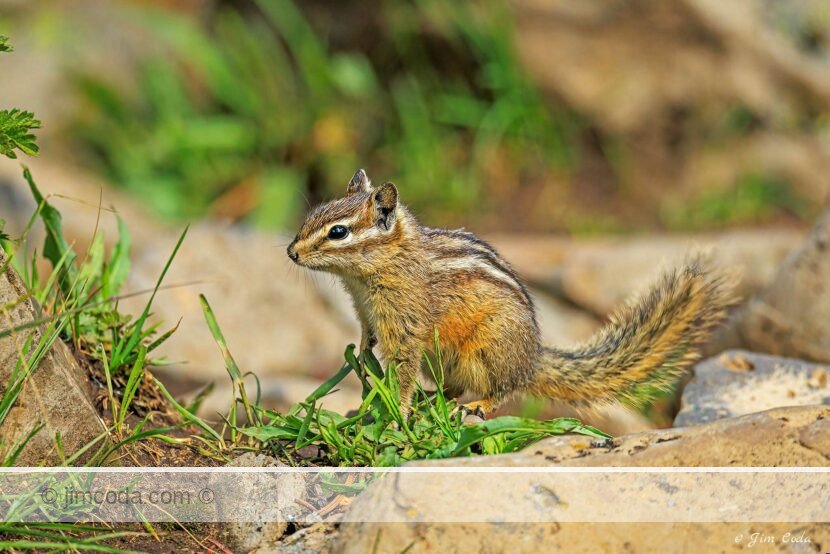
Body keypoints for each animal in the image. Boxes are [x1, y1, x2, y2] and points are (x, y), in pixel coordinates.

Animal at [287, 169, 735, 419]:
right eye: (313, 214)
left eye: (338, 232)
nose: (291, 252)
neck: (365, 278)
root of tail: (532, 358)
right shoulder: (364, 309)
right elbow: (367, 335)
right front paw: (363, 356)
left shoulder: (408, 323)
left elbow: (402, 366)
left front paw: (394, 408)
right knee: (453, 387)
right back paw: (434, 401)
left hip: (486, 350)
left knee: (500, 390)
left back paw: (476, 406)